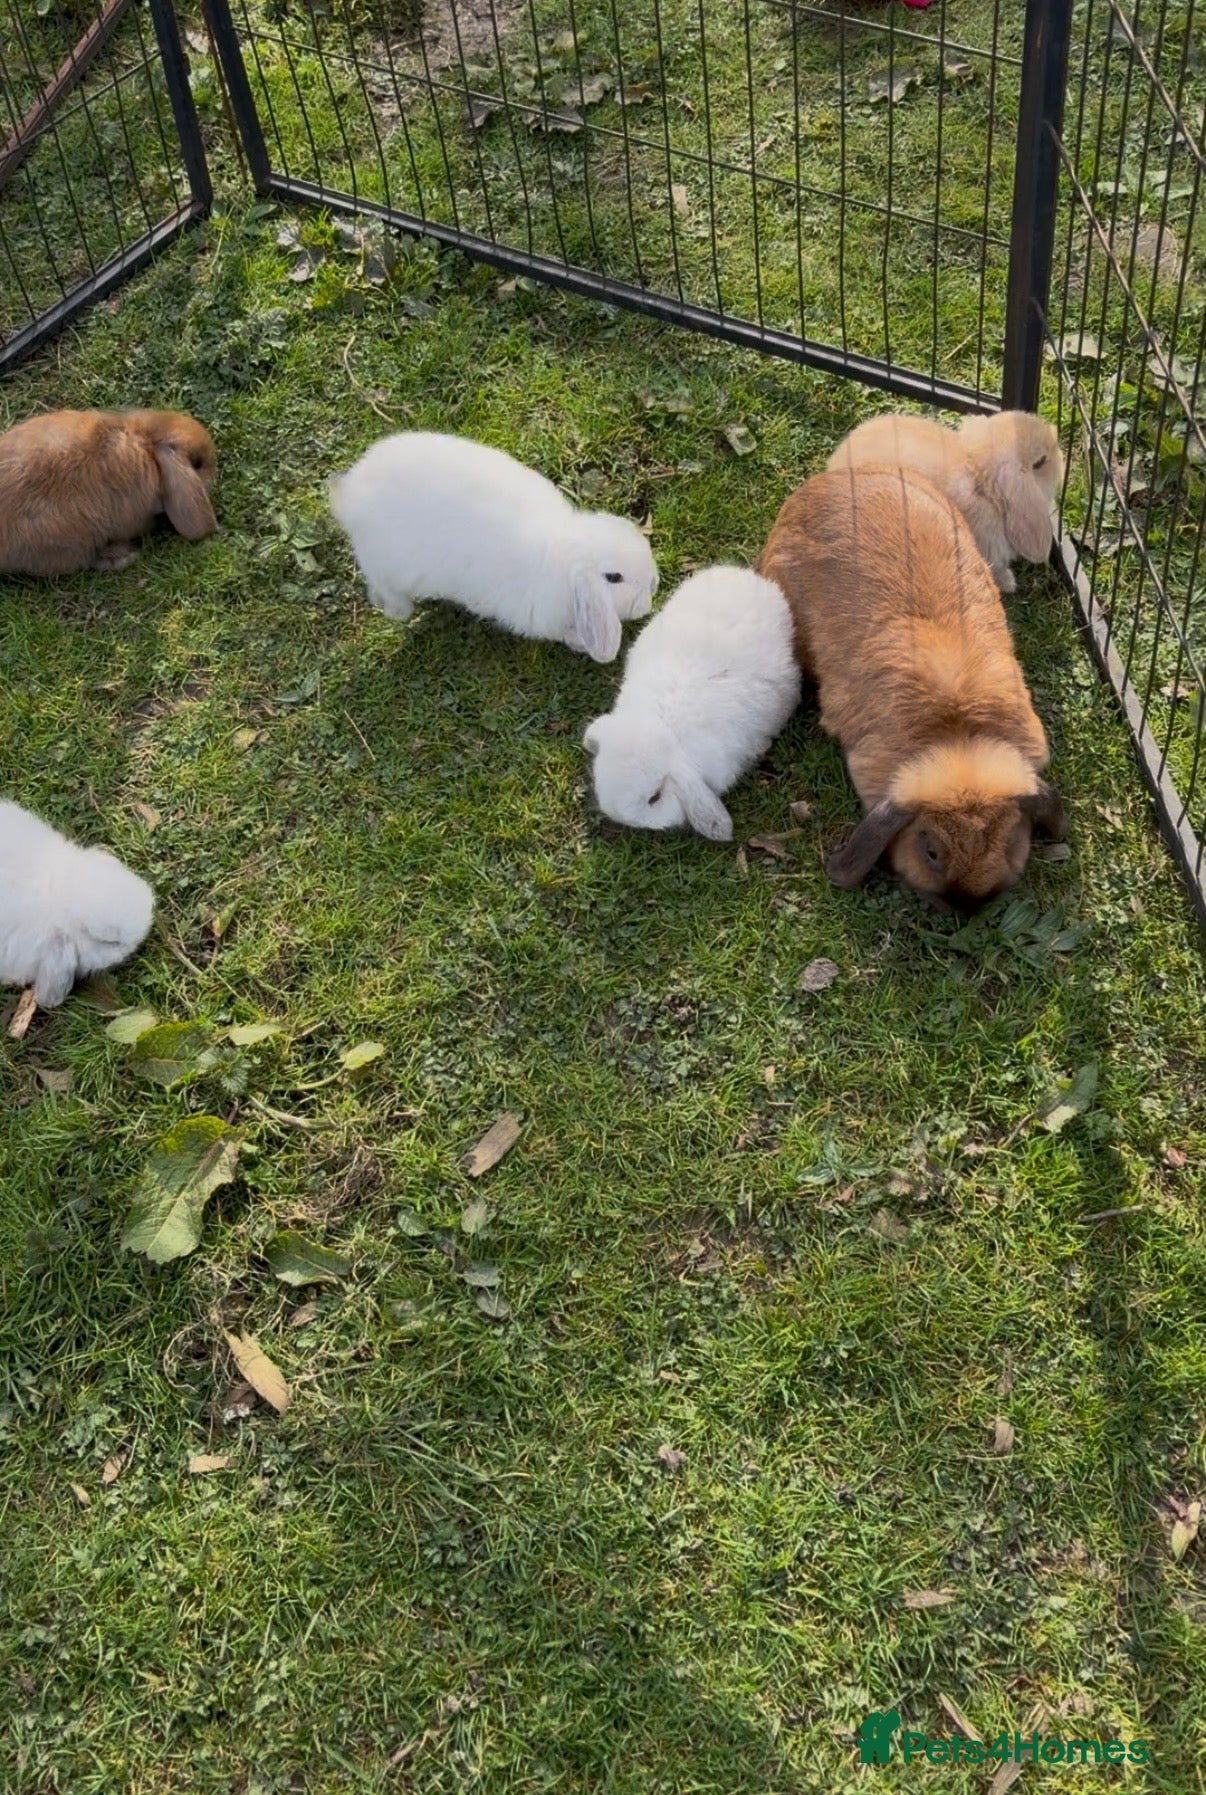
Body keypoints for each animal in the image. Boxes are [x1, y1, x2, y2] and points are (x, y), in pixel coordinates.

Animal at [329, 431, 659, 663]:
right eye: (614, 577)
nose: (654, 584)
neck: (562, 557)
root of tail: (349, 497)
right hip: (387, 568)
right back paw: (401, 612)